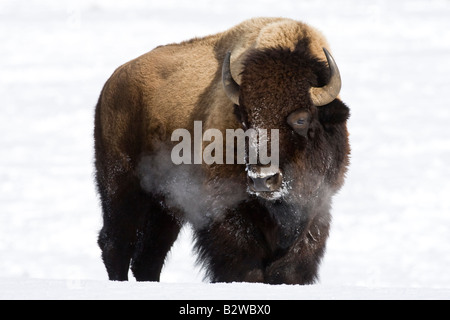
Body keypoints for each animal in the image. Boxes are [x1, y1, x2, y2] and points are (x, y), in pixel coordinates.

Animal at [95, 17, 350, 284]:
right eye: (245, 120)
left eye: (301, 119)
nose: (262, 179)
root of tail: (112, 83)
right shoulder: (225, 208)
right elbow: (245, 266)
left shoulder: (317, 209)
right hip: (120, 186)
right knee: (116, 243)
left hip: (164, 209)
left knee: (148, 255)